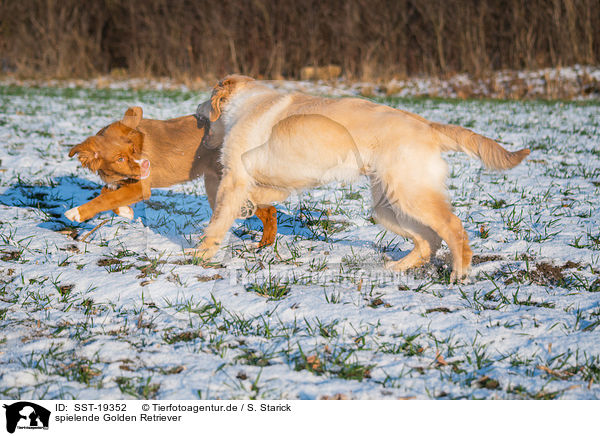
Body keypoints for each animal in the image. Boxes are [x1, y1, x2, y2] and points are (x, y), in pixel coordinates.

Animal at [67, 106, 278, 249]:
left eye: (133, 149)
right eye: (119, 159)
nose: (146, 164)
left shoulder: (141, 187)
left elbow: (105, 199)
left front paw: (76, 213)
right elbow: (107, 193)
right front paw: (125, 211)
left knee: (269, 210)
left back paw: (263, 244)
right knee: (267, 210)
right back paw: (263, 243)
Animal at [190, 75, 528, 280]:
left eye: (206, 99)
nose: (195, 111)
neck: (244, 105)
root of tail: (428, 126)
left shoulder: (234, 177)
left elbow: (217, 221)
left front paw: (199, 254)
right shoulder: (278, 180)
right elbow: (265, 195)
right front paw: (252, 206)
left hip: (410, 195)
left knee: (453, 228)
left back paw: (459, 272)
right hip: (388, 205)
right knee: (428, 240)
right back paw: (398, 267)